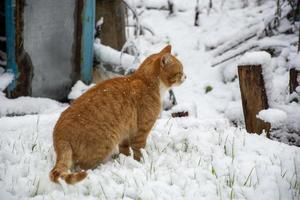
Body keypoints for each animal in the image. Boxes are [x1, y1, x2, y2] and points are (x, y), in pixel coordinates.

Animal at [49, 45, 185, 184]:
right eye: (180, 72)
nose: (186, 76)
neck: (146, 81)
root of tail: (60, 135)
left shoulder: (125, 131)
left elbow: (125, 150)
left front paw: (126, 160)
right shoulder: (142, 131)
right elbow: (139, 150)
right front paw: (140, 164)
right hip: (105, 143)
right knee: (83, 167)